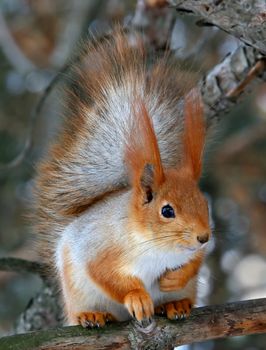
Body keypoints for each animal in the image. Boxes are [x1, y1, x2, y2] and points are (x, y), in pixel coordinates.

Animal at [34, 28, 211, 326]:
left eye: (204, 203)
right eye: (167, 211)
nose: (204, 237)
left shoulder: (193, 252)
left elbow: (196, 262)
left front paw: (175, 278)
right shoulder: (97, 248)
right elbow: (106, 275)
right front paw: (137, 297)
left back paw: (176, 304)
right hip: (79, 294)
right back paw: (91, 314)